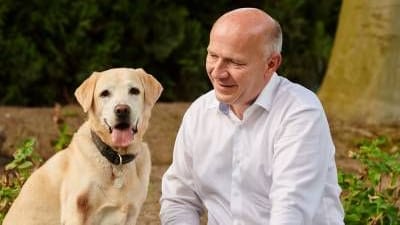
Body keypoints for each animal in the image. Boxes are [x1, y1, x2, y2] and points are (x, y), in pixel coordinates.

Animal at [3, 67, 162, 224]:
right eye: (105, 93)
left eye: (134, 91)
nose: (122, 110)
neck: (117, 158)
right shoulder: (76, 211)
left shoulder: (131, 213)